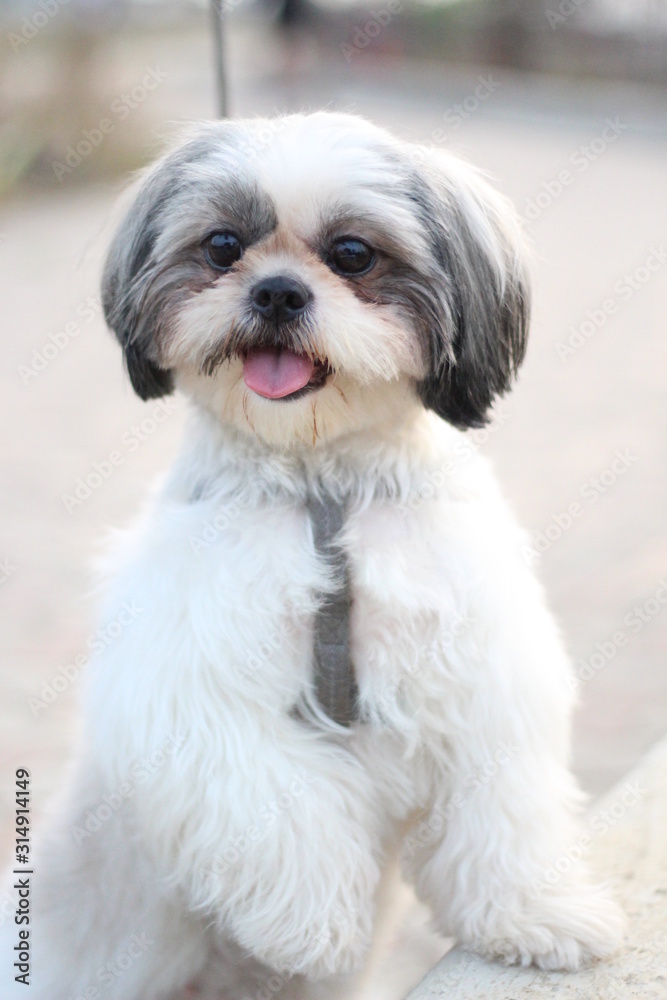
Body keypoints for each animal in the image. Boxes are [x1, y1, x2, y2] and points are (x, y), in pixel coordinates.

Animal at [3, 113, 628, 996]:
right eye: (222, 247)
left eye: (353, 254)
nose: (276, 291)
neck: (320, 490)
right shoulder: (193, 688)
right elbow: (273, 798)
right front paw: (309, 924)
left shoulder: (478, 668)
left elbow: (504, 806)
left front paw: (535, 912)